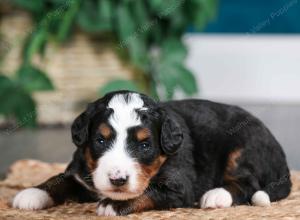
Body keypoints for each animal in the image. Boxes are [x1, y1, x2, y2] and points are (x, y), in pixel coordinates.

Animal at [11, 90, 290, 216]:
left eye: (145, 145)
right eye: (100, 140)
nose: (117, 179)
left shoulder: (178, 186)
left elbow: (148, 192)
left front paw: (113, 204)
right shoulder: (81, 173)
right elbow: (58, 179)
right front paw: (31, 193)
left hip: (243, 147)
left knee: (248, 184)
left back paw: (216, 196)